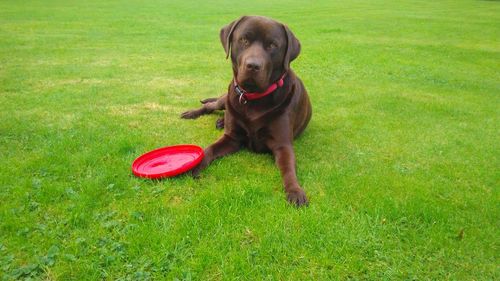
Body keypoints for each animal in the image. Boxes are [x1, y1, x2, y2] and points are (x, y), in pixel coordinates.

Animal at [180, 15, 312, 206]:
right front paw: (195, 165)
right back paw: (193, 113)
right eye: (244, 40)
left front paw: (295, 190)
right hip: (224, 99)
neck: (253, 98)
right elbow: (209, 149)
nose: (253, 65)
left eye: (273, 45)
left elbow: (288, 168)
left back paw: (220, 121)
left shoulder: (283, 145)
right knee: (210, 106)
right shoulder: (231, 138)